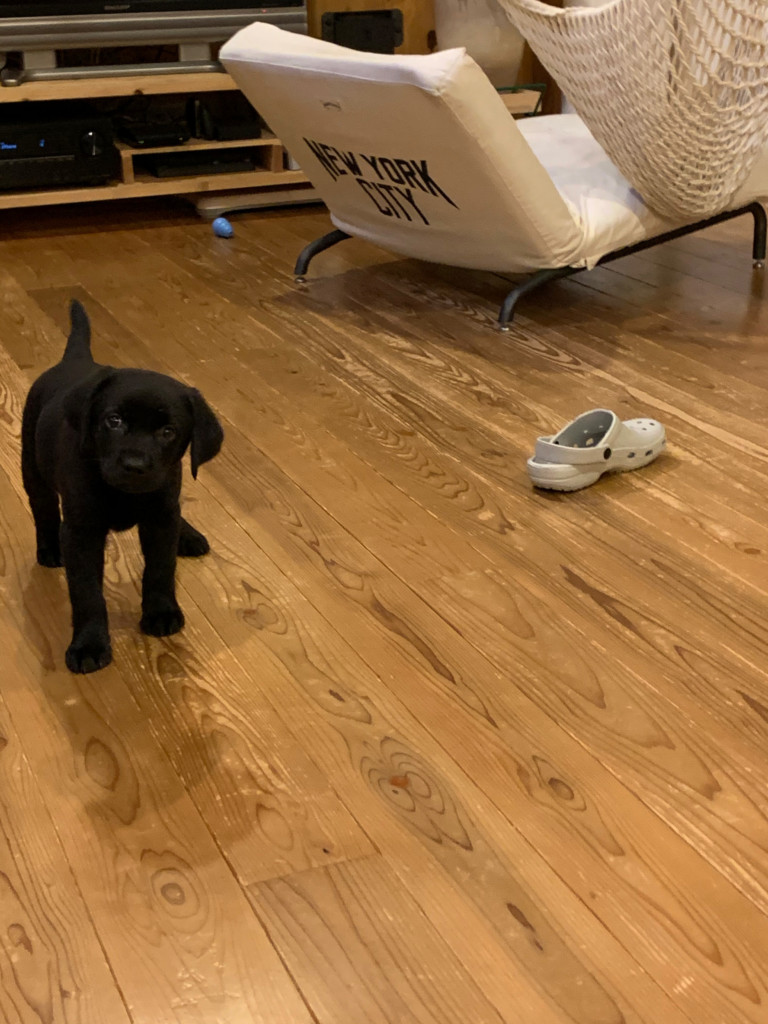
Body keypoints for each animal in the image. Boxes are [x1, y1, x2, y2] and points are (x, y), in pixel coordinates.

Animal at [21, 299, 223, 674]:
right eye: (113, 421)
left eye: (168, 432)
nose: (135, 466)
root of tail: (75, 361)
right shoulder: (82, 532)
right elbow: (87, 592)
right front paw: (89, 644)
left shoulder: (159, 517)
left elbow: (160, 568)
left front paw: (161, 612)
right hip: (33, 466)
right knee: (43, 509)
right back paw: (50, 547)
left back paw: (187, 534)